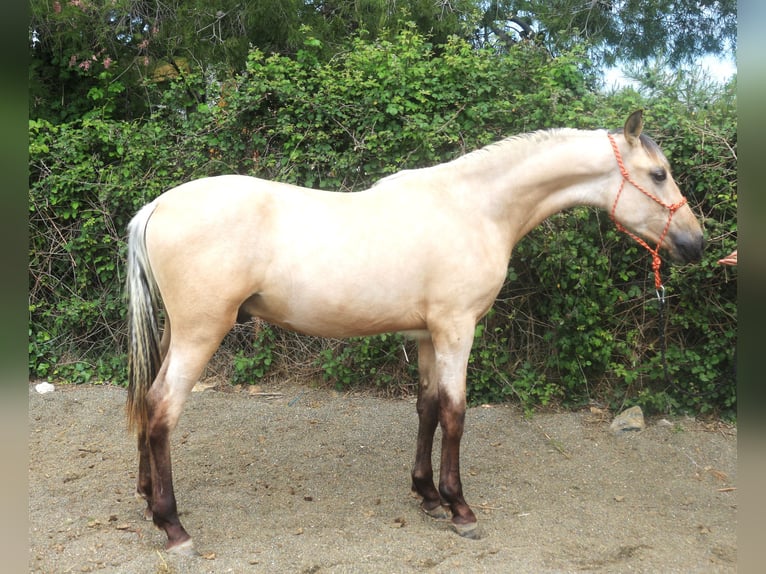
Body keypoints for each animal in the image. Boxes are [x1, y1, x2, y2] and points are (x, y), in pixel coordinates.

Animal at [127, 110, 708, 556]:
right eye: (658, 174)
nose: (696, 242)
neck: (475, 208)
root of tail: (157, 205)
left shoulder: (427, 335)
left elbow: (427, 408)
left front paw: (427, 495)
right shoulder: (456, 328)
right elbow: (455, 413)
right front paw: (460, 508)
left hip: (175, 333)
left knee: (145, 403)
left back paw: (146, 497)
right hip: (201, 333)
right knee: (163, 408)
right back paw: (173, 526)